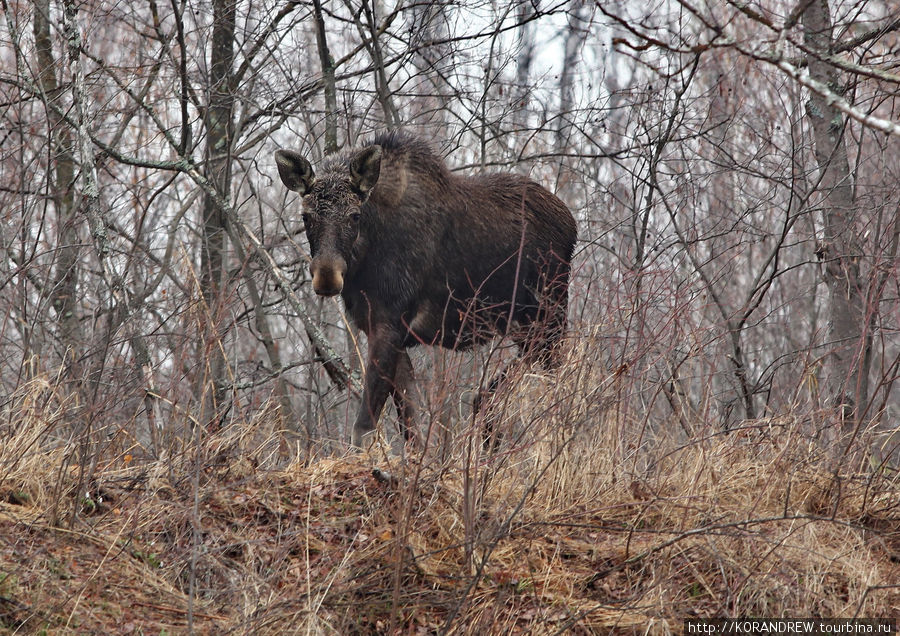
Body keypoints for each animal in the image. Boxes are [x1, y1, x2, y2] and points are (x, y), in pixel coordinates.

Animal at [274, 133, 580, 448]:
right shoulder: (385, 331)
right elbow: (410, 427)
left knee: (557, 375)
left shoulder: (389, 325)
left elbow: (364, 426)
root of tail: (571, 223)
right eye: (306, 216)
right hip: (522, 324)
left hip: (549, 313)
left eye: (355, 215)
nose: (327, 276)